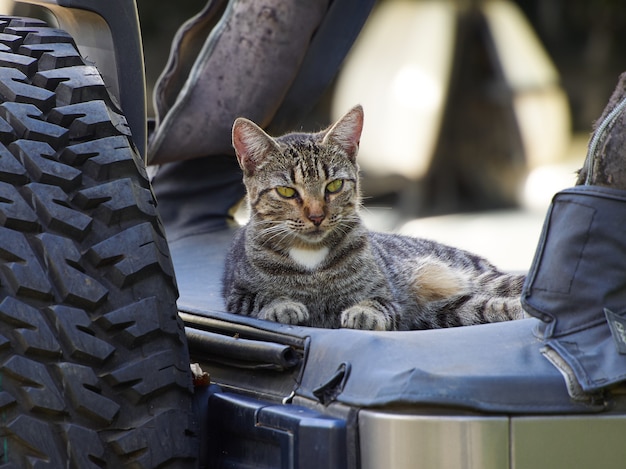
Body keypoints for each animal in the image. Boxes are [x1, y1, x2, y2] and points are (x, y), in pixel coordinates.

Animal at [222, 104, 524, 330]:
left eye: (334, 186)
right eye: (286, 191)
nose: (317, 216)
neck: (310, 257)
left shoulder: (390, 296)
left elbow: (378, 302)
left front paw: (364, 311)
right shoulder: (237, 295)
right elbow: (260, 298)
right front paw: (281, 305)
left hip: (470, 279)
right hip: (444, 309)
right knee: (485, 306)